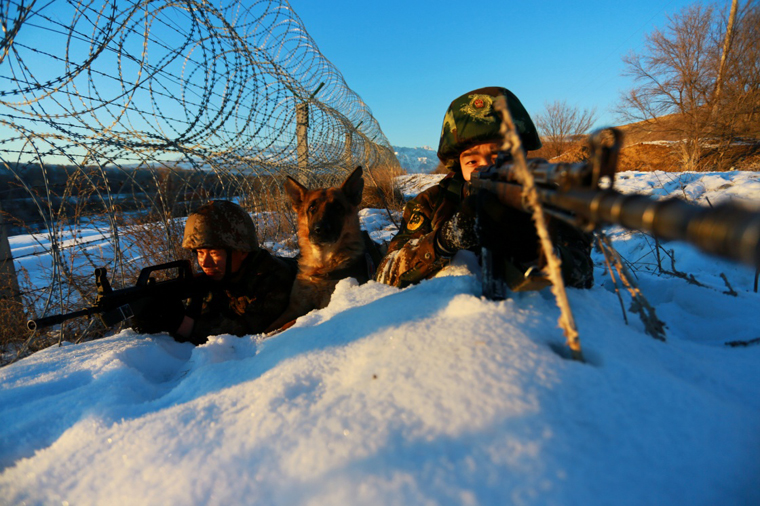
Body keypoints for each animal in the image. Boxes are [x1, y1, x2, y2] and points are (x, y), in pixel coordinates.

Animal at [264, 166, 380, 332]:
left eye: (338, 207)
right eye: (312, 207)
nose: (321, 230)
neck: (322, 262)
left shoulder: (320, 307)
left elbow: (292, 322)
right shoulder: (294, 308)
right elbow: (271, 326)